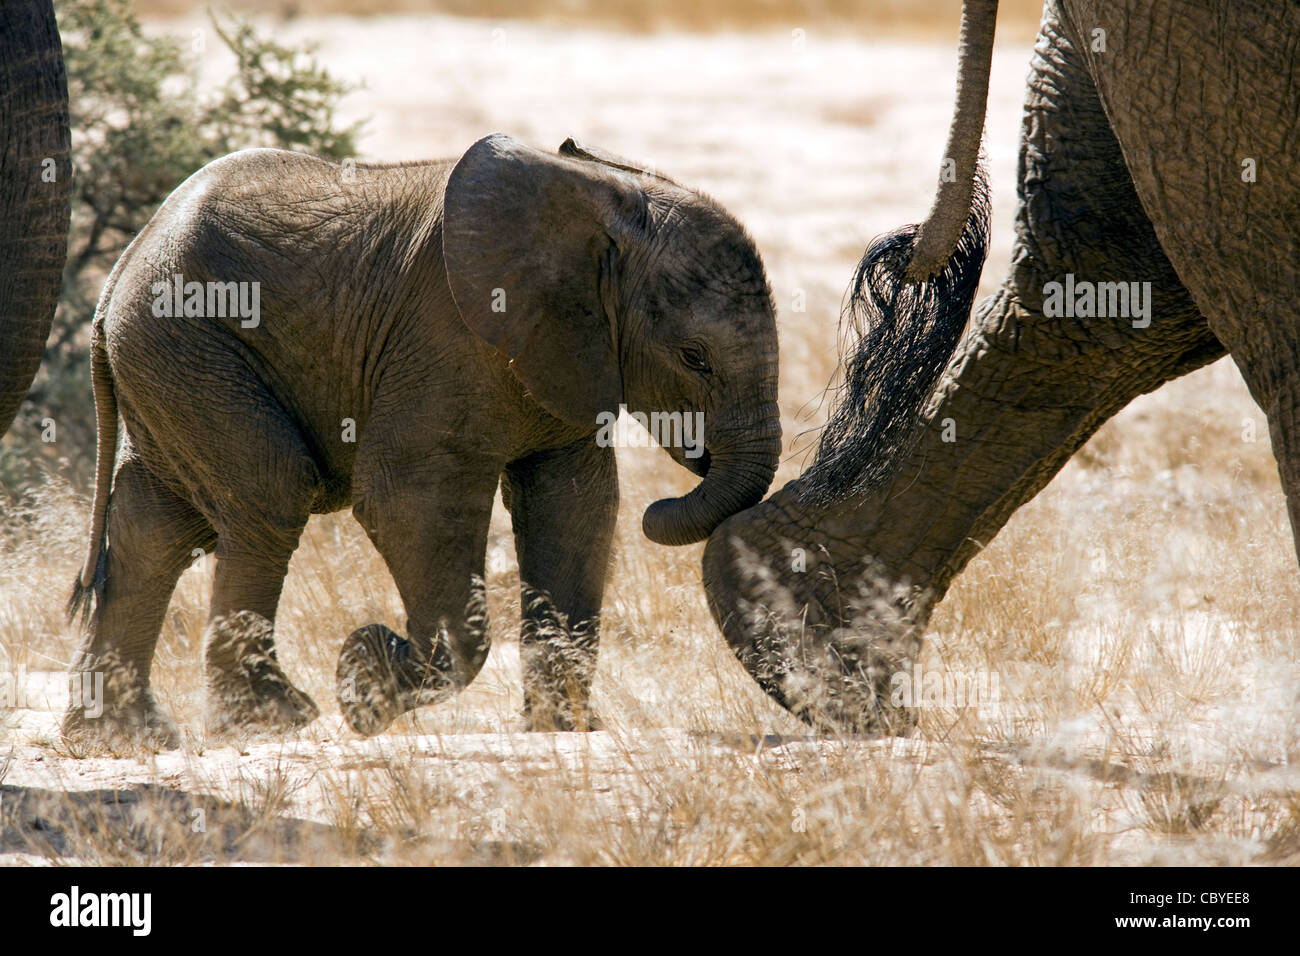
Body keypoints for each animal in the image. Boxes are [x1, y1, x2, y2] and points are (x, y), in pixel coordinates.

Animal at [65, 134, 780, 749]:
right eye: (694, 358)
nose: (668, 500)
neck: (600, 204)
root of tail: (115, 279)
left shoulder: (567, 351)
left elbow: (575, 506)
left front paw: (564, 730)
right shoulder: (447, 337)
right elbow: (409, 499)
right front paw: (364, 682)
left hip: (170, 367)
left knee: (155, 529)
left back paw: (121, 738)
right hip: (191, 348)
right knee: (269, 494)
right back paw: (268, 723)